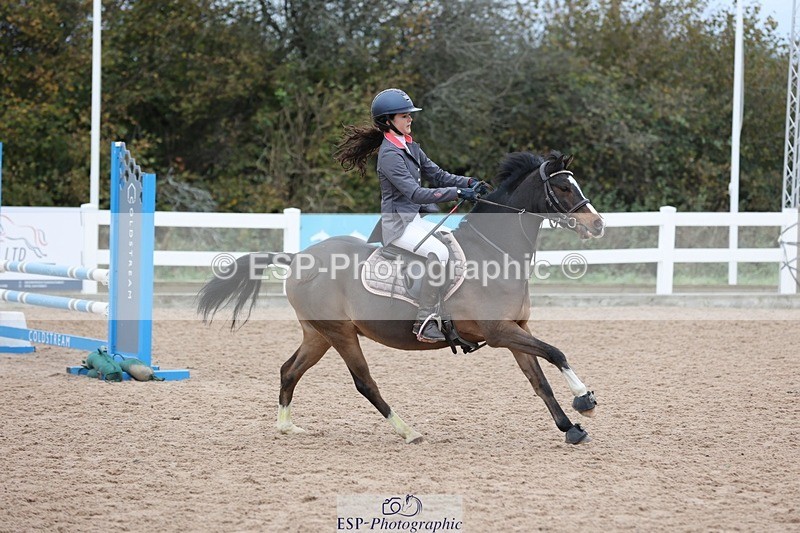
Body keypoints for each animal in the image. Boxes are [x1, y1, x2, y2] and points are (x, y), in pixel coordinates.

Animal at [197, 151, 606, 445]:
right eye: (564, 188)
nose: (598, 224)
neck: (494, 253)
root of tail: (298, 257)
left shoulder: (516, 328)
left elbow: (539, 380)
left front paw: (570, 427)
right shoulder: (499, 332)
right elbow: (555, 353)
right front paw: (584, 400)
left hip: (318, 334)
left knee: (289, 370)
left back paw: (287, 427)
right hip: (340, 333)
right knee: (364, 383)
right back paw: (408, 431)